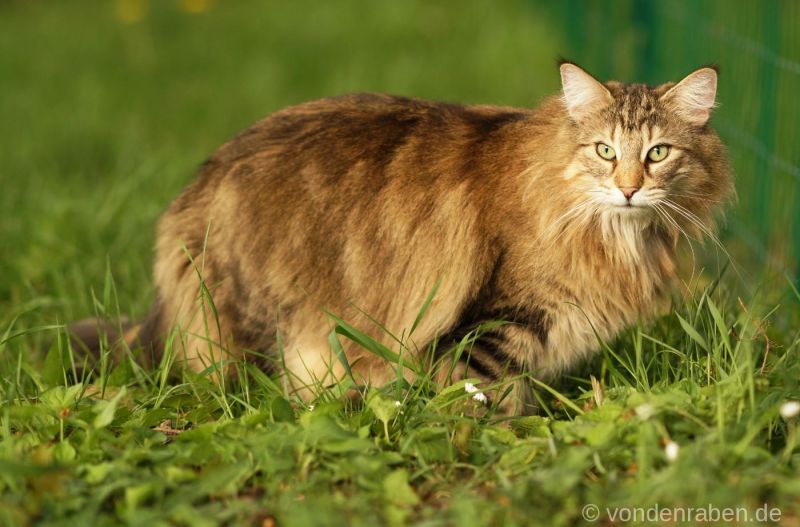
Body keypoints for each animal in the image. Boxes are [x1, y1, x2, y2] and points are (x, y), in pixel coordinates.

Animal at [70, 63, 732, 416]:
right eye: (604, 151)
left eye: (657, 153)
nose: (628, 189)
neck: (614, 235)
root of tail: (194, 190)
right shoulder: (491, 328)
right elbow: (482, 405)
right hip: (269, 328)